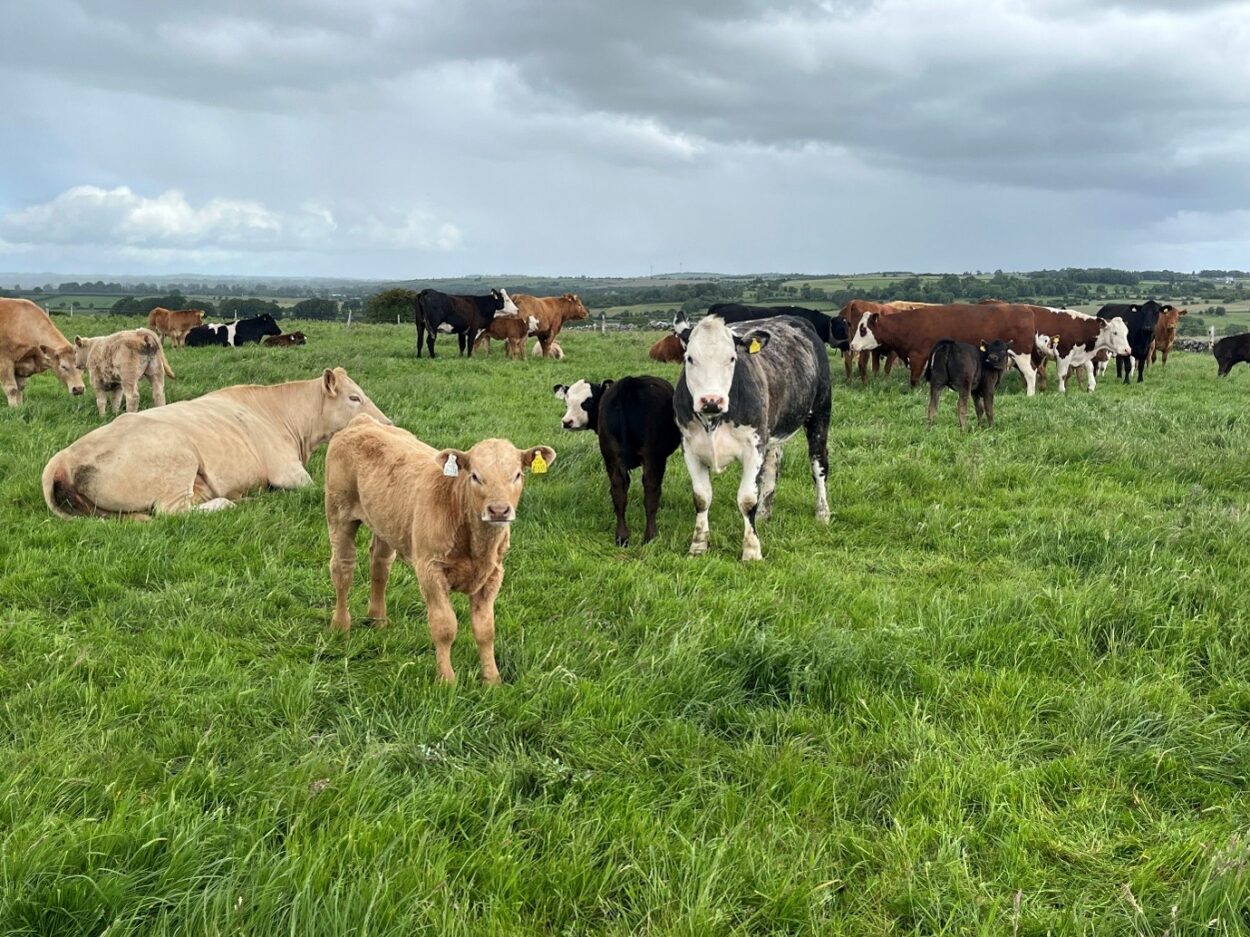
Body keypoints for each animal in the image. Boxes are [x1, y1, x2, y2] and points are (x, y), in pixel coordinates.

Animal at [42, 368, 387, 519]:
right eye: (354, 398)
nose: (387, 424)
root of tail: (62, 458)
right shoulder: (289, 471)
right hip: (178, 457)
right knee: (171, 512)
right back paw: (230, 502)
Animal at [324, 416, 555, 685]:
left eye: (517, 475)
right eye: (475, 476)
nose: (499, 510)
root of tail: (363, 421)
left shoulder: (494, 573)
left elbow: (485, 629)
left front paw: (492, 680)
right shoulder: (430, 569)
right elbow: (444, 627)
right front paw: (446, 680)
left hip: (386, 522)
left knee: (380, 565)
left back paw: (378, 619)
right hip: (339, 513)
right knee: (343, 568)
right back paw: (340, 626)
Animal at [554, 376, 681, 546]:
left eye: (587, 401)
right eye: (566, 403)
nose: (567, 421)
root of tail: (628, 383)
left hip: (612, 456)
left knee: (618, 491)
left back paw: (622, 537)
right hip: (652, 457)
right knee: (651, 491)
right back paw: (650, 537)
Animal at [673, 313, 832, 562]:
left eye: (731, 358)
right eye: (689, 358)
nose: (711, 400)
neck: (713, 419)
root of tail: (793, 317)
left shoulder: (753, 448)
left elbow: (747, 500)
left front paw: (752, 551)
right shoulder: (690, 448)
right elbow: (701, 497)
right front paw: (698, 545)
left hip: (820, 414)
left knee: (819, 466)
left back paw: (822, 513)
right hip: (772, 434)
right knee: (772, 469)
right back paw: (765, 513)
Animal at [849, 303, 1040, 395]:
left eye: (863, 329)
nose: (852, 345)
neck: (909, 325)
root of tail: (1025, 309)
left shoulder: (918, 356)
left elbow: (914, 380)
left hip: (1021, 353)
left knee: (1030, 373)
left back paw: (1030, 394)